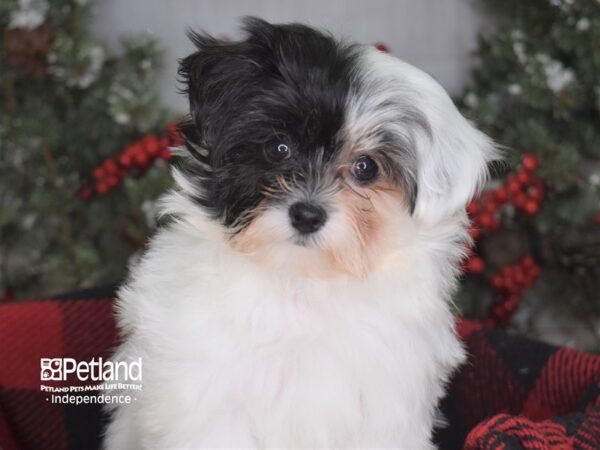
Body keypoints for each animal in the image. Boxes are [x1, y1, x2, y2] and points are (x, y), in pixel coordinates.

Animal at [103, 18, 496, 450]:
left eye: (366, 167)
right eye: (279, 147)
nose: (306, 215)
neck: (301, 279)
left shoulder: (388, 406)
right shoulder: (205, 392)